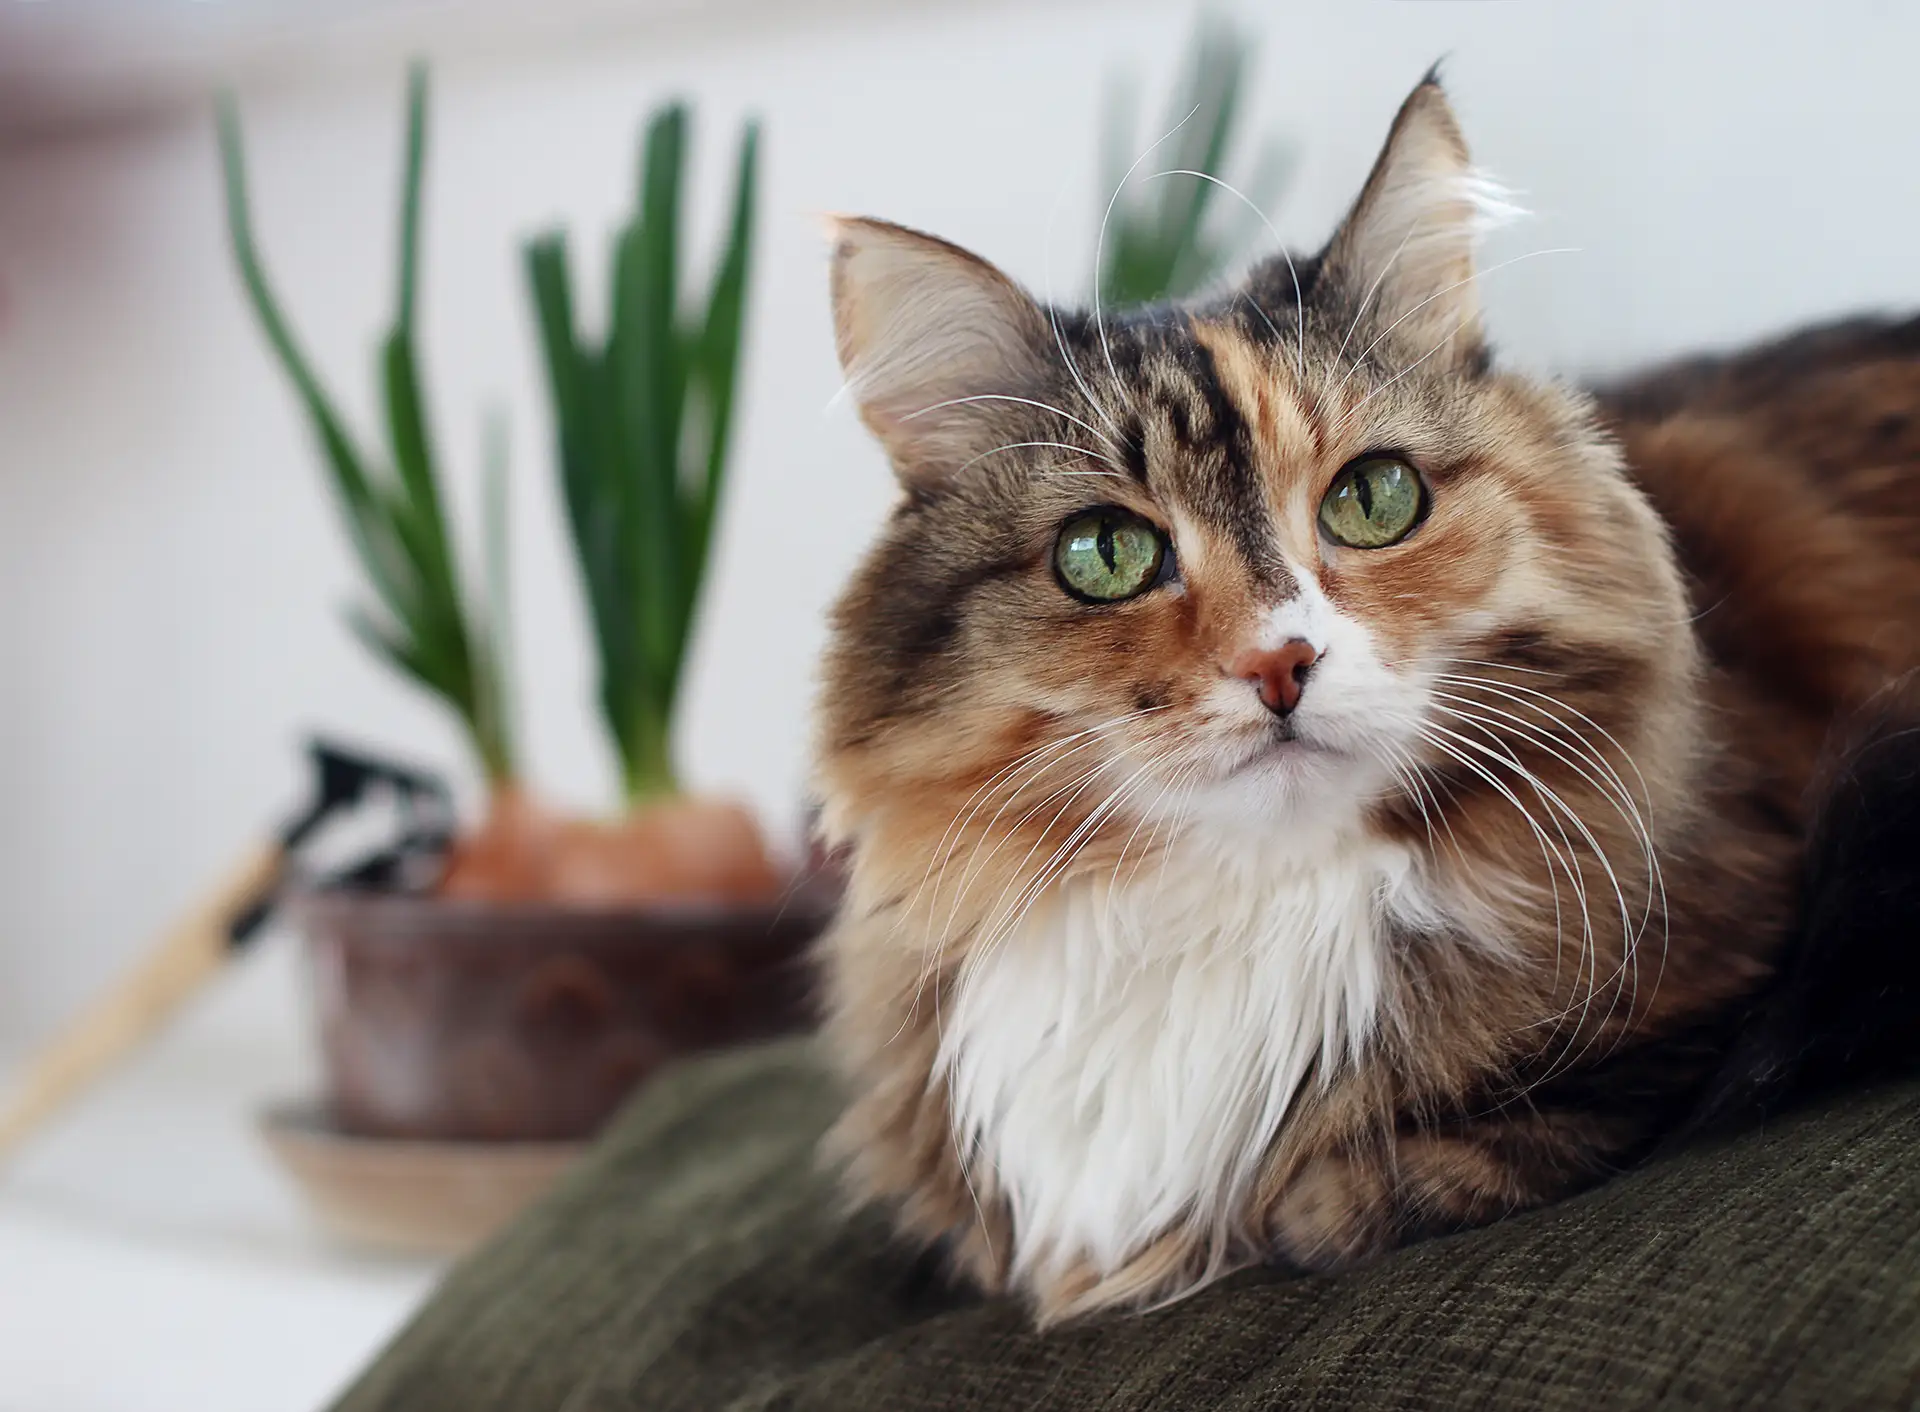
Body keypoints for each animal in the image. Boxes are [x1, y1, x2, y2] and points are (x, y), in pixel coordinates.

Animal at [806, 72, 1920, 1321]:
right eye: (1106, 553)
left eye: (1374, 497)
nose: (1281, 663)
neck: (1253, 906)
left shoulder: (1738, 968)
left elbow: (1439, 1155)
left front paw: (1318, 1198)